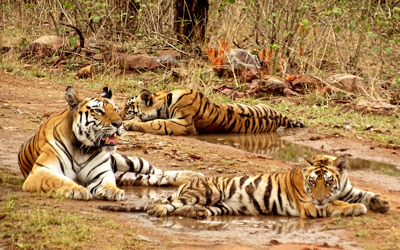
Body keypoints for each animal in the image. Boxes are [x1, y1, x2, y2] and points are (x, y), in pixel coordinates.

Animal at [18, 86, 203, 201]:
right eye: (99, 111)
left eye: (114, 109)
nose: (120, 123)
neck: (82, 149)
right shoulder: (41, 171)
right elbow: (59, 181)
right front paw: (77, 190)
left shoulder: (102, 173)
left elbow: (107, 182)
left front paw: (111, 191)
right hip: (127, 174)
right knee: (153, 178)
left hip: (130, 161)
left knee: (159, 172)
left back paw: (194, 176)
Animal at [119, 89, 304, 136]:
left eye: (127, 107)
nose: (119, 117)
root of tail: (278, 115)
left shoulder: (185, 124)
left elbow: (157, 123)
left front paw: (129, 124)